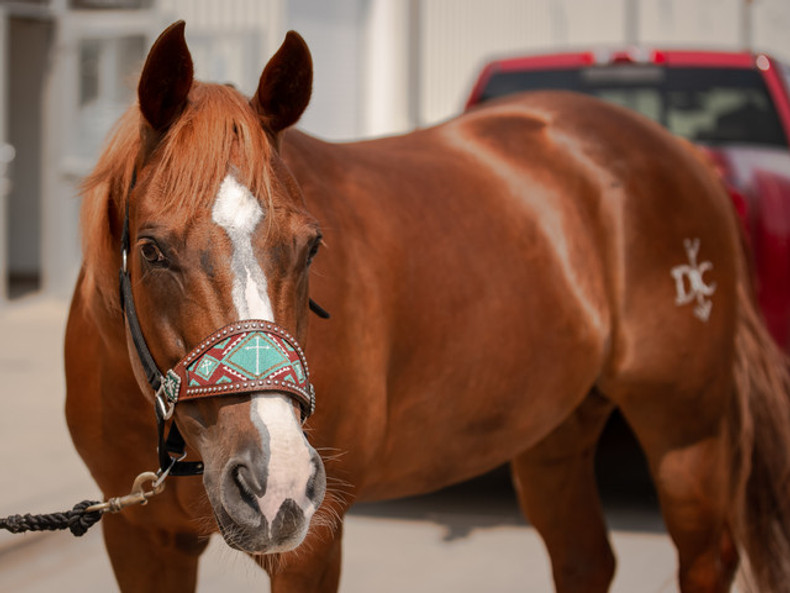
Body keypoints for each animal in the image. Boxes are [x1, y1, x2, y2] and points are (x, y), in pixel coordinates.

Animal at [65, 20, 790, 588]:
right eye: (152, 249)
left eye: (311, 245)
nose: (277, 481)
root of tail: (682, 151)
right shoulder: (139, 541)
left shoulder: (310, 544)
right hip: (555, 434)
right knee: (586, 558)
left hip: (686, 435)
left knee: (706, 557)